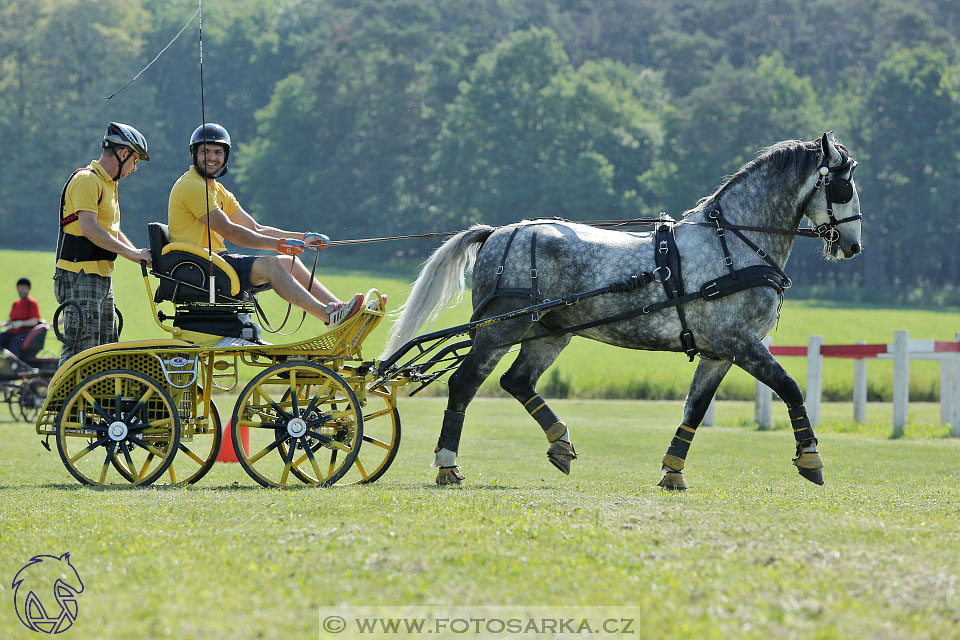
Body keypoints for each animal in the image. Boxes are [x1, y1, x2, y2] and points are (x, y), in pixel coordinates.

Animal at [380, 132, 864, 488]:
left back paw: (560, 443)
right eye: (844, 186)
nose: (854, 246)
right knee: (464, 384)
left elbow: (695, 408)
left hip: (550, 332)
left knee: (516, 381)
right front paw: (811, 459)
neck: (733, 244)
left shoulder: (718, 351)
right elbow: (790, 387)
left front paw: (673, 471)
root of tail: (498, 232)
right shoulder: (740, 342)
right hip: (500, 329)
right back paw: (447, 464)